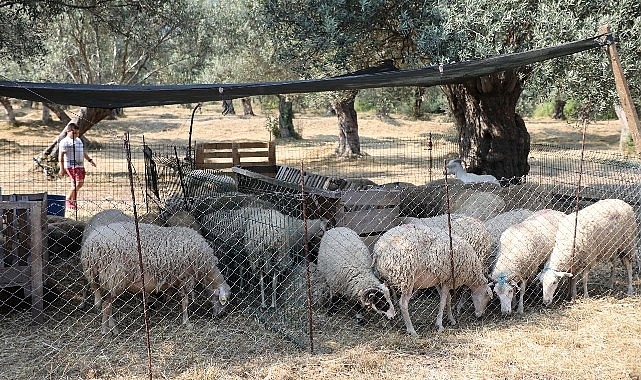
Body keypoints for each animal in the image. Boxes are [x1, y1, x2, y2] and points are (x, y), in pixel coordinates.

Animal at [79, 220, 230, 336]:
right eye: (222, 300)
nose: (220, 316)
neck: (206, 268)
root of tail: (90, 246)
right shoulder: (185, 277)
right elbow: (185, 301)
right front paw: (187, 322)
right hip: (115, 276)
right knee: (106, 305)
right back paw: (106, 330)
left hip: (107, 280)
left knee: (107, 305)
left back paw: (113, 328)